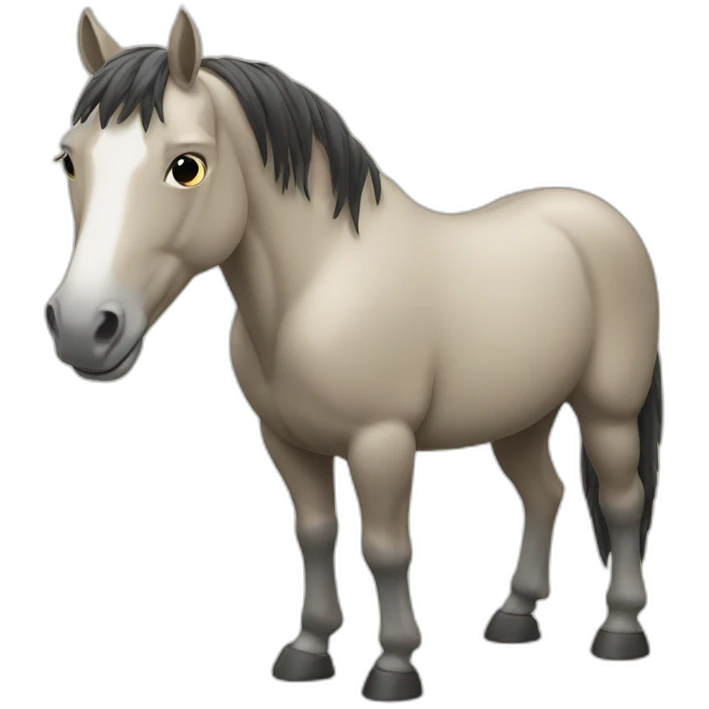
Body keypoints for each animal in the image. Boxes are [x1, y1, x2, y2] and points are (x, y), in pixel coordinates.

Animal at [46, 7, 664, 701]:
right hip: (520, 417)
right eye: (70, 162)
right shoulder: (288, 441)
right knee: (545, 494)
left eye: (187, 166)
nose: (81, 327)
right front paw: (309, 650)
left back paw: (620, 630)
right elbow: (316, 536)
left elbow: (385, 549)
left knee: (622, 501)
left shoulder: (381, 442)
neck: (319, 284)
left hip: (608, 412)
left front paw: (393, 667)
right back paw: (515, 615)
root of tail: (595, 215)